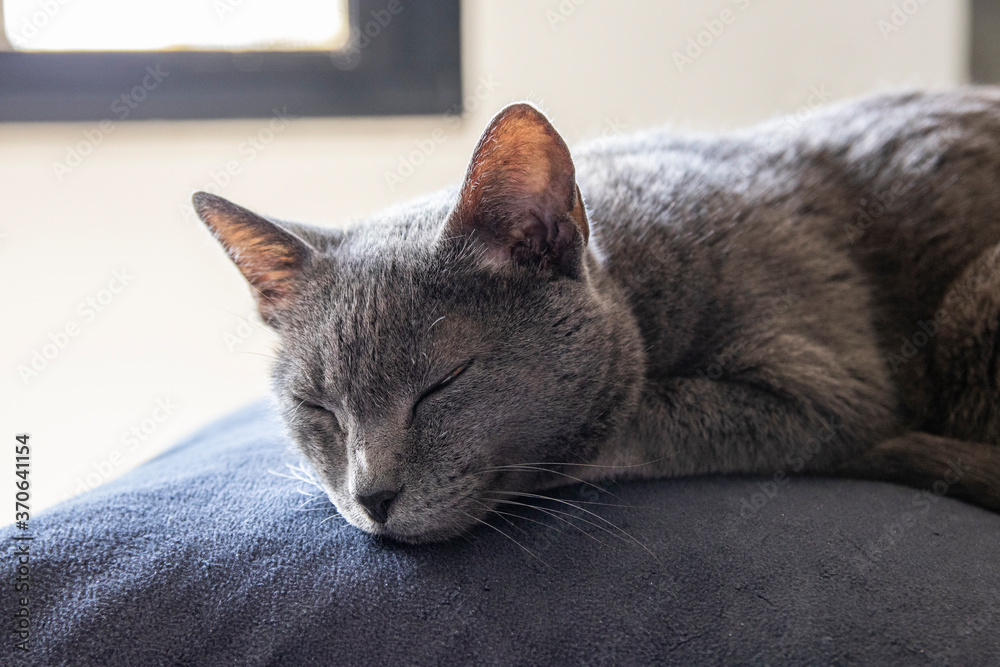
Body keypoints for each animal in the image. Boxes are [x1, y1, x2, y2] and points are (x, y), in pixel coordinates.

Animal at [191, 88, 1000, 544]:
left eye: (442, 384)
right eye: (316, 407)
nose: (373, 496)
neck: (640, 280)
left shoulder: (826, 387)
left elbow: (633, 416)